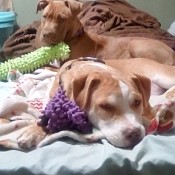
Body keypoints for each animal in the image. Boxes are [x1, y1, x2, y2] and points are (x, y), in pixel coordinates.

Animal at [1, 57, 175, 150]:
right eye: (106, 106)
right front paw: (33, 130)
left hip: (163, 76)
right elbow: (45, 116)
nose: (134, 134)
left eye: (137, 102)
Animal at [34, 0, 174, 65]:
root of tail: (172, 53)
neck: (74, 37)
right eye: (44, 16)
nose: (45, 35)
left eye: (62, 19)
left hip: (137, 44)